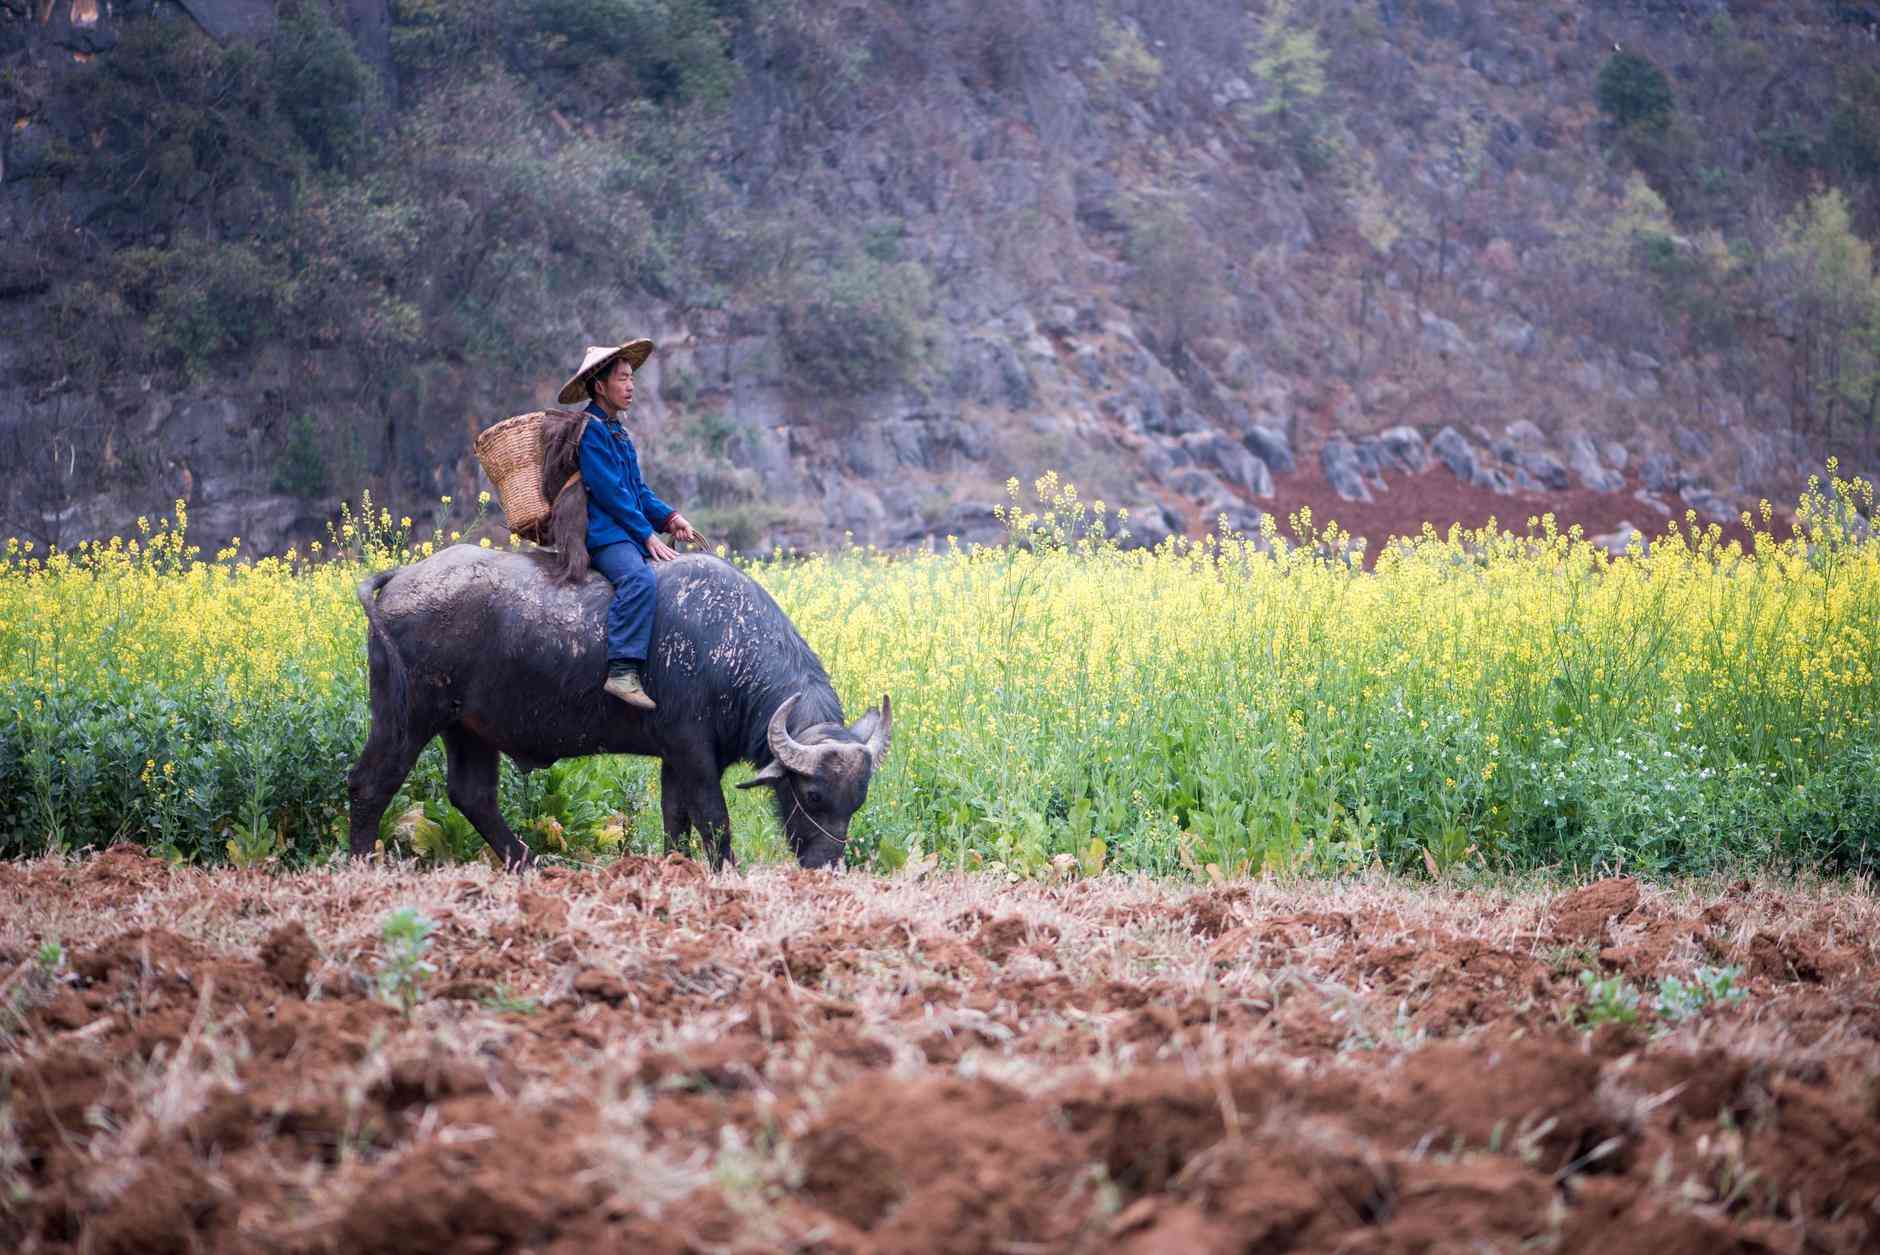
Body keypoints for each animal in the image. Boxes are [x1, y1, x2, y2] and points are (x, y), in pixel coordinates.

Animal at [349, 548, 891, 871]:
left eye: (858, 799)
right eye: (813, 796)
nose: (825, 865)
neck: (725, 643)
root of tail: (400, 578)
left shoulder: (677, 757)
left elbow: (676, 817)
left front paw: (676, 867)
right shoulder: (693, 752)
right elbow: (713, 818)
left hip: (469, 730)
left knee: (471, 794)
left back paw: (526, 863)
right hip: (405, 714)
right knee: (371, 783)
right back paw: (363, 865)